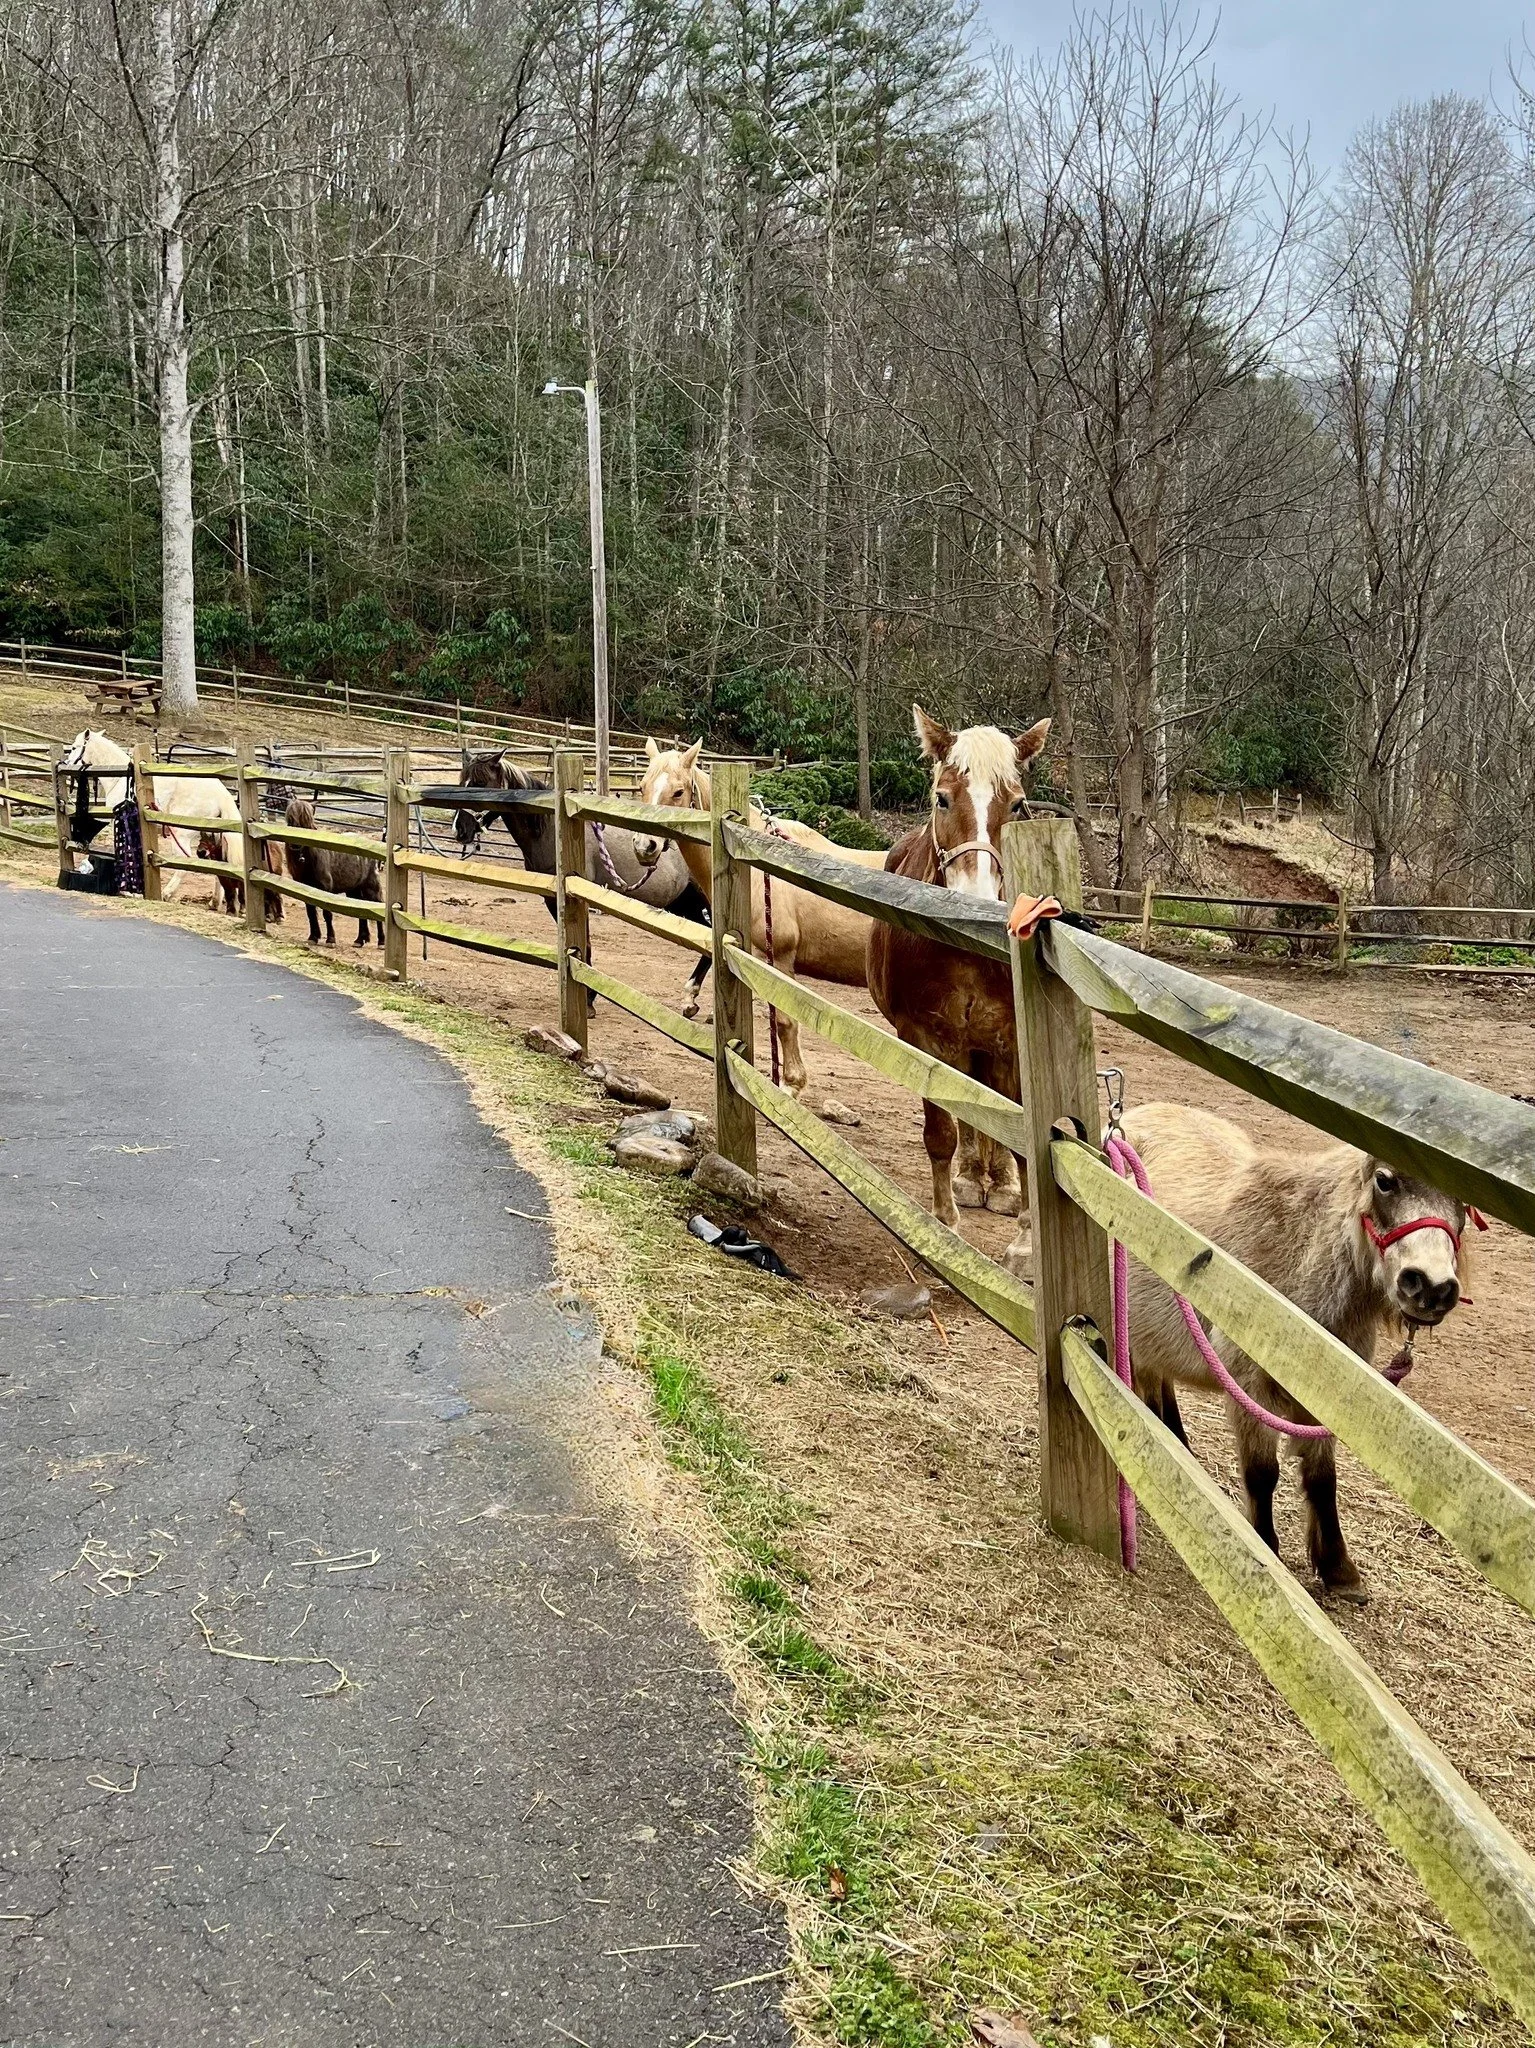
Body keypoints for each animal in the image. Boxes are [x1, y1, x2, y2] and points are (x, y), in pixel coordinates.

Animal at [61, 730, 240, 906]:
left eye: (74, 747)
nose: (67, 764)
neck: (120, 778)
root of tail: (221, 794)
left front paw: (129, 890)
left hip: (180, 834)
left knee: (185, 862)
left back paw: (167, 894)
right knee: (218, 864)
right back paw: (215, 902)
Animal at [283, 797, 383, 946]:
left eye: (307, 821)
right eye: (290, 819)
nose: (295, 844)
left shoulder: (325, 888)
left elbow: (327, 913)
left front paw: (330, 939)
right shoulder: (305, 889)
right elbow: (311, 913)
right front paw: (313, 937)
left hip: (371, 886)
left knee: (378, 904)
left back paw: (381, 941)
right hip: (354, 889)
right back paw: (360, 939)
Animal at [453, 751, 712, 1013]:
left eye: (480, 784)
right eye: (462, 782)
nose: (459, 829)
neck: (552, 827)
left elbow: (584, 944)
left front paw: (587, 1000)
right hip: (683, 903)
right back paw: (689, 1000)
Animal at [866, 707, 1053, 1277]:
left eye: (1017, 804)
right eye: (942, 797)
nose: (977, 898)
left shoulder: (1011, 1042)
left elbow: (1020, 1138)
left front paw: (1025, 1245)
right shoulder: (922, 1036)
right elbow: (941, 1132)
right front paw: (944, 1224)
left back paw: (1001, 1186)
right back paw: (973, 1178)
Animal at [1117, 1101, 1471, 1601]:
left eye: (1469, 1204)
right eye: (1385, 1180)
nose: (1432, 1286)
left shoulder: (1324, 1398)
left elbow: (1322, 1479)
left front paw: (1339, 1570)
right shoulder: (1249, 1387)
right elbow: (1262, 1473)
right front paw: (1266, 1552)